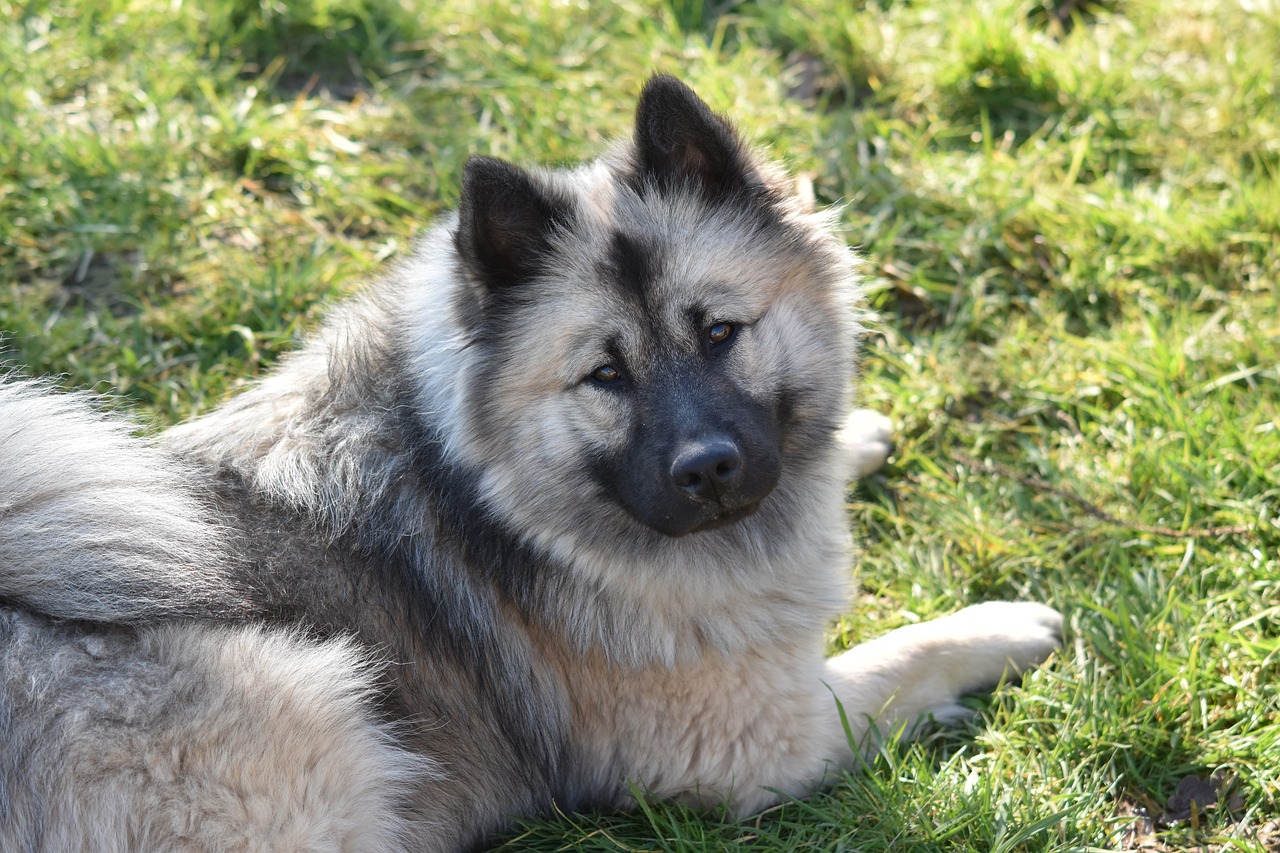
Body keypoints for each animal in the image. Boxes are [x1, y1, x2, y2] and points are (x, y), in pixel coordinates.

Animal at [0, 76, 1059, 845]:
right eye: (605, 375)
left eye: (720, 332)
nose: (709, 468)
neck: (498, 495)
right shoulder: (767, 738)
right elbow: (912, 651)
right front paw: (1006, 625)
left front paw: (858, 436)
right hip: (322, 724)